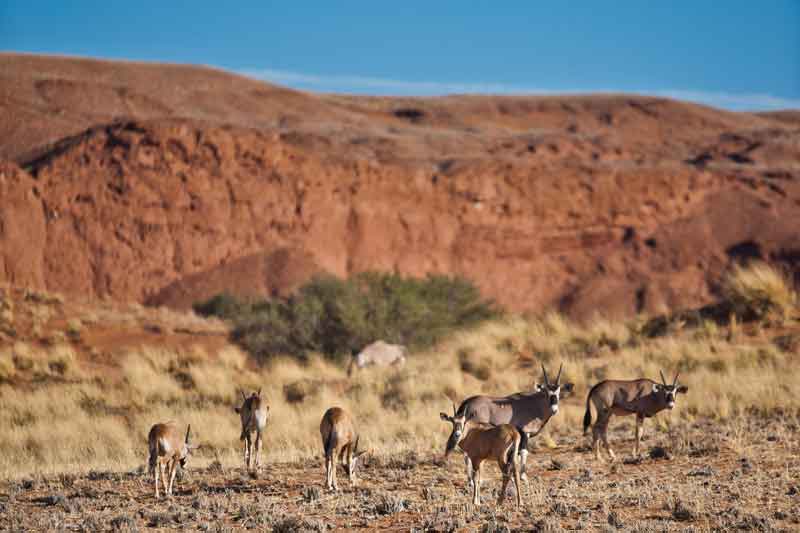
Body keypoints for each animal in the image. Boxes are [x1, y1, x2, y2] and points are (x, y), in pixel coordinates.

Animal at [440, 362, 572, 482]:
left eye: (558, 393)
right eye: (546, 393)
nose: (554, 409)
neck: (535, 403)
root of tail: (467, 402)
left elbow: (515, 456)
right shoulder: (525, 433)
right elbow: (523, 452)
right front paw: (523, 477)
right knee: (467, 455)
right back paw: (471, 481)